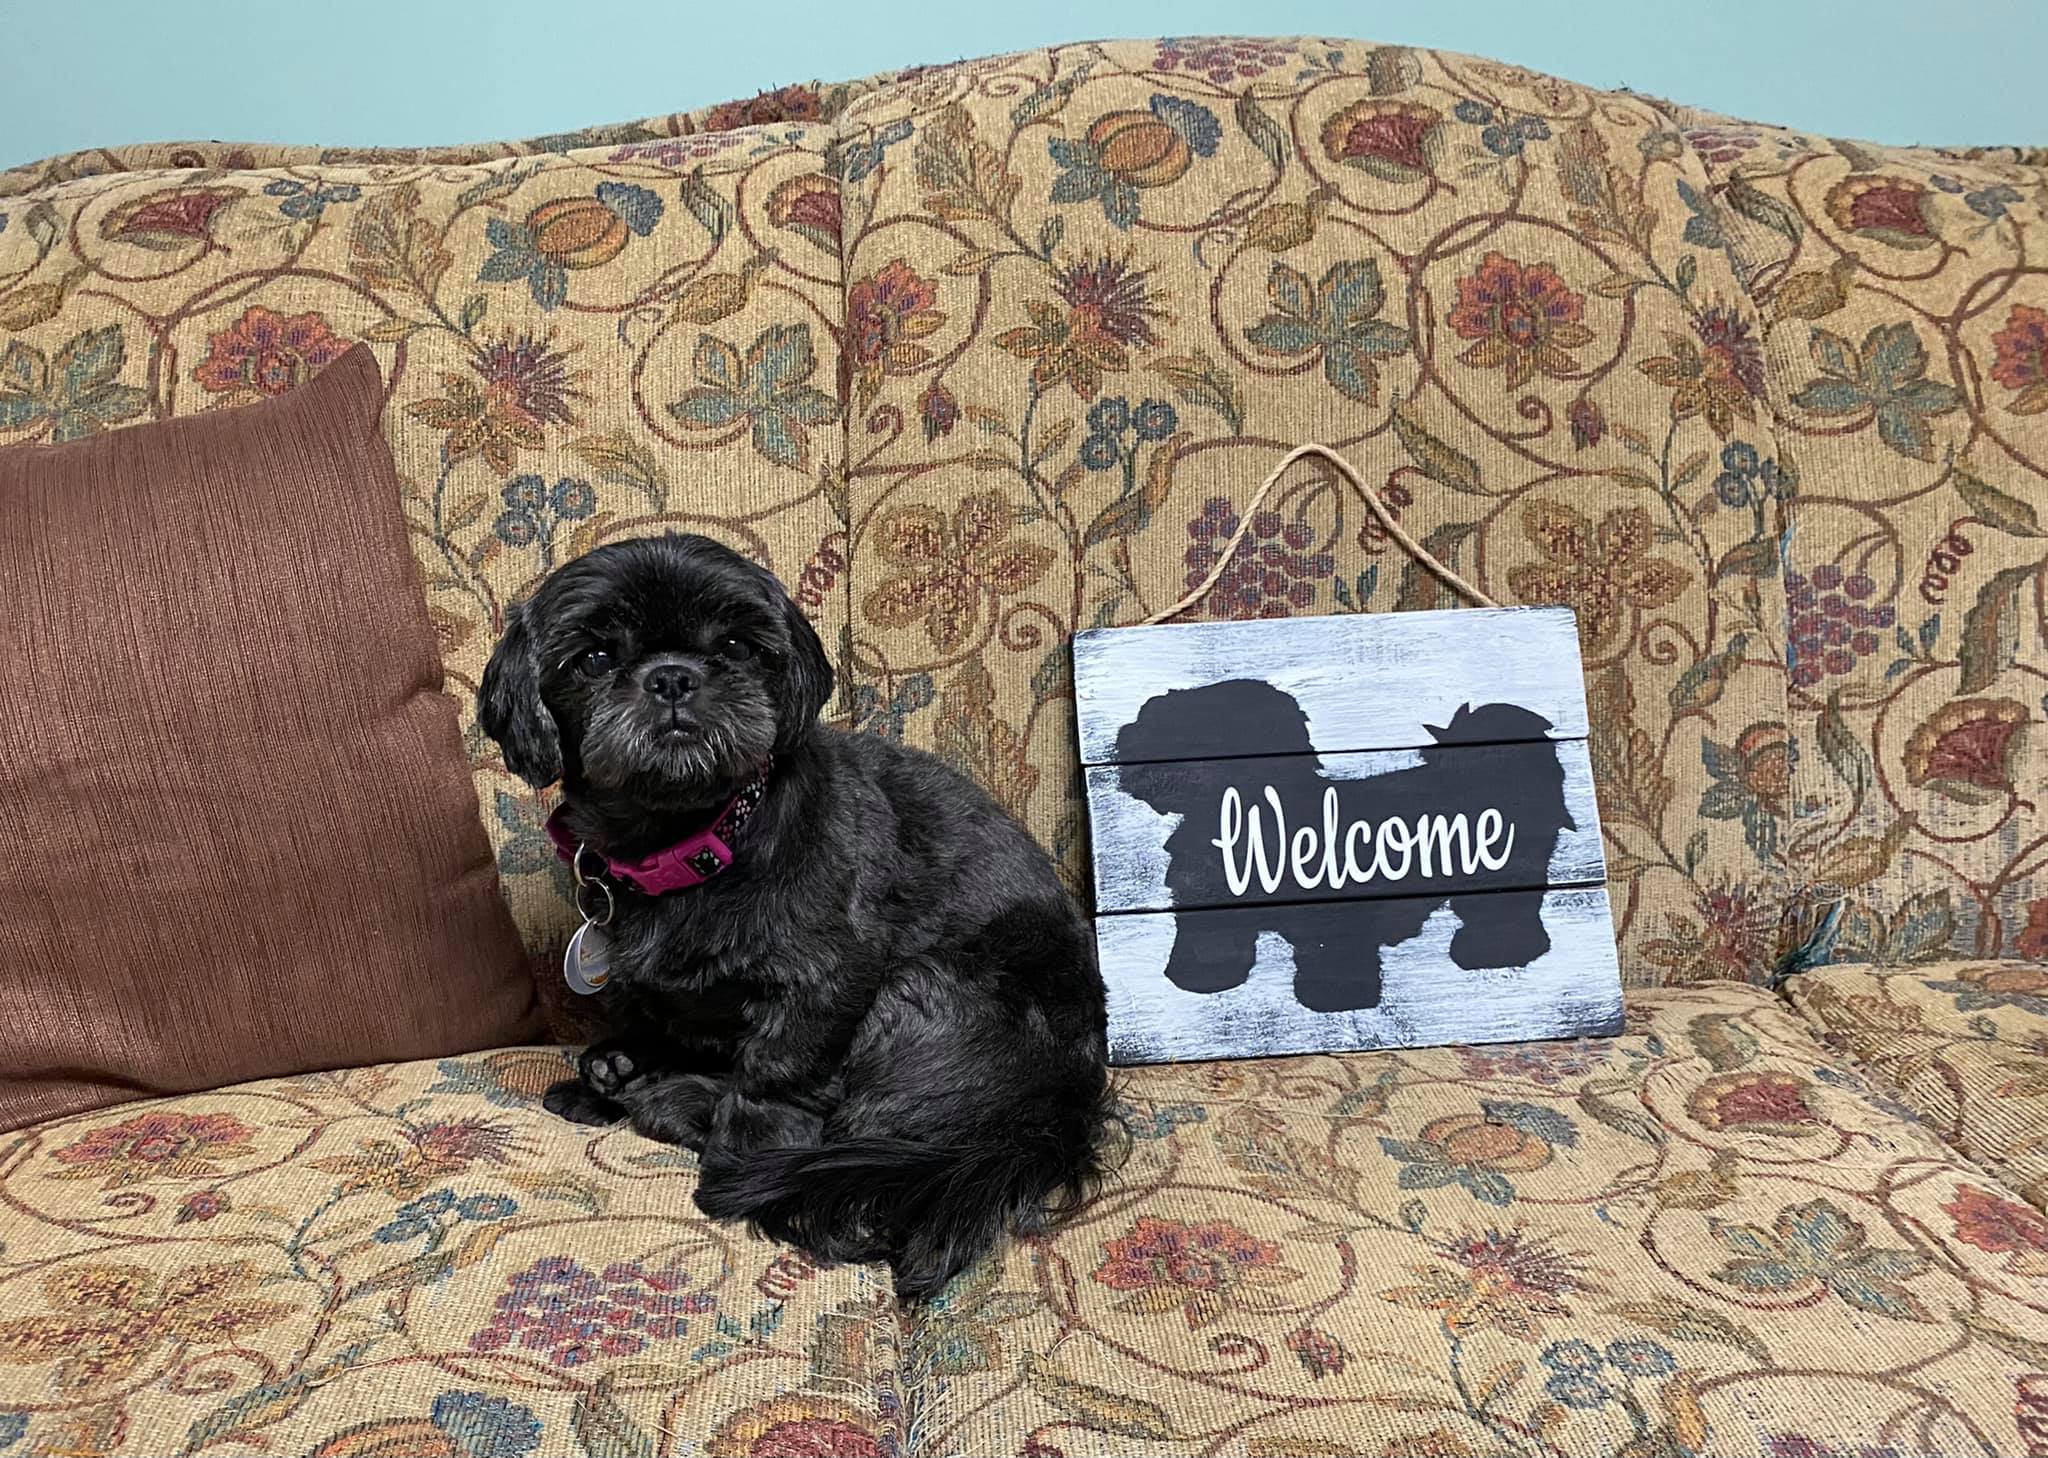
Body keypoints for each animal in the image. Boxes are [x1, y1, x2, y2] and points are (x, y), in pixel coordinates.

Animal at [478, 532, 1116, 1297]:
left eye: (735, 646)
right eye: (595, 658)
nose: (672, 678)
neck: (695, 840)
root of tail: (1061, 1110)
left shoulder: (825, 979)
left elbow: (777, 1074)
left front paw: (737, 1153)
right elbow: (660, 1013)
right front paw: (617, 1065)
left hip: (931, 990)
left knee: (855, 1131)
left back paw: (677, 1104)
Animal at [1114, 681, 1573, 1013]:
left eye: (1167, 729)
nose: (1123, 735)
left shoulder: (1339, 923)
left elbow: (1335, 959)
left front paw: (1334, 1000)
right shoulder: (1208, 914)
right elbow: (1210, 945)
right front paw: (1201, 980)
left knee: (1503, 913)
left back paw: (1493, 953)